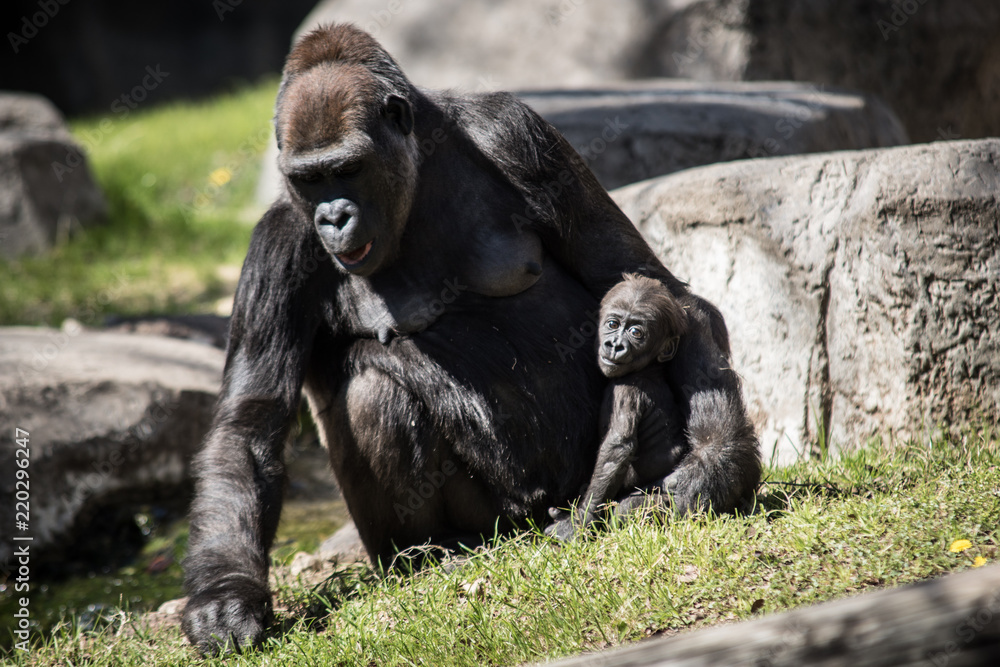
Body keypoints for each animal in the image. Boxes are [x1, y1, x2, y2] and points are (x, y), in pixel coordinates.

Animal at [548, 274, 688, 540]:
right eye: (613, 324)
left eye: (635, 332)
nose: (615, 345)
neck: (648, 369)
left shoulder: (625, 391)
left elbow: (617, 447)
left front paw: (579, 522)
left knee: (628, 508)